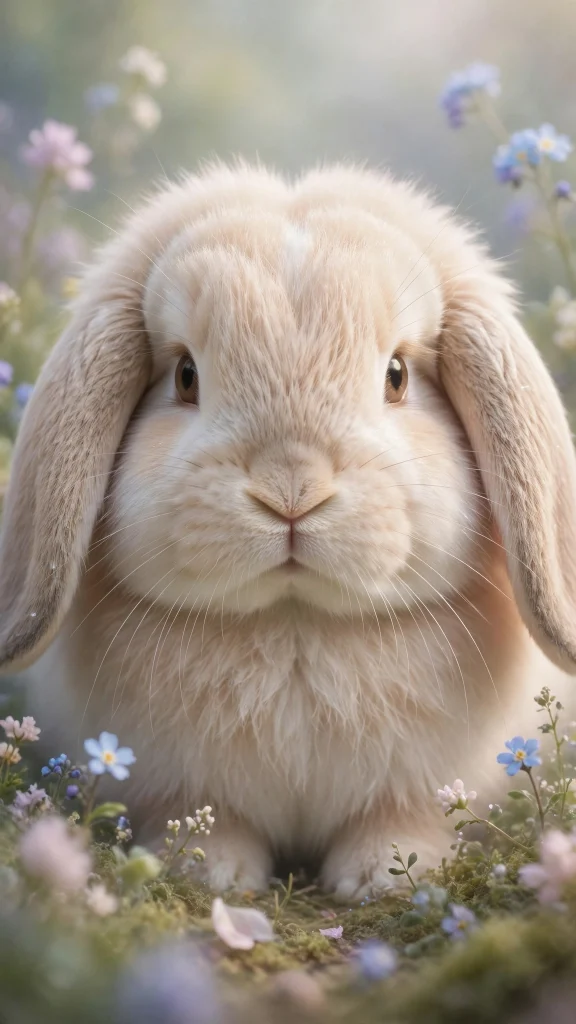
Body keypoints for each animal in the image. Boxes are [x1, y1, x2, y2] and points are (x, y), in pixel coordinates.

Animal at [1, 162, 576, 899]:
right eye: (185, 375)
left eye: (397, 376)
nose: (291, 490)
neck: (295, 624)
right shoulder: (181, 781)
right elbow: (210, 817)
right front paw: (212, 873)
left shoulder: (415, 784)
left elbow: (401, 819)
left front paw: (385, 876)